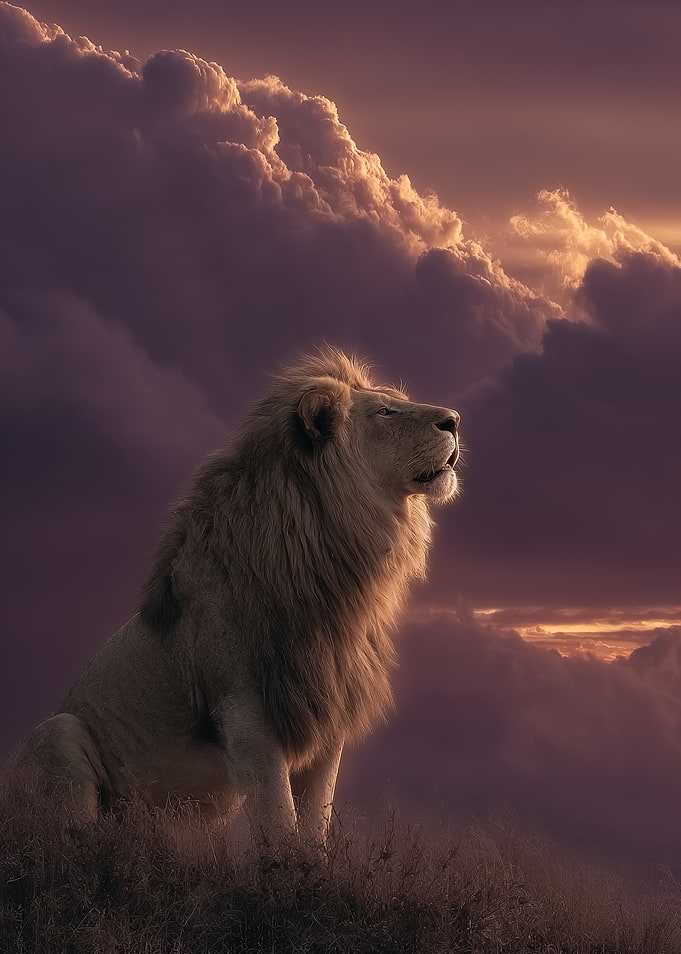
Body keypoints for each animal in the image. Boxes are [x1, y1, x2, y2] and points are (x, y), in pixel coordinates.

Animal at [10, 347, 461, 844]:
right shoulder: (246, 710)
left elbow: (314, 824)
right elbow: (279, 822)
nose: (455, 420)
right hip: (58, 733)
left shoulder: (327, 713)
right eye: (384, 411)